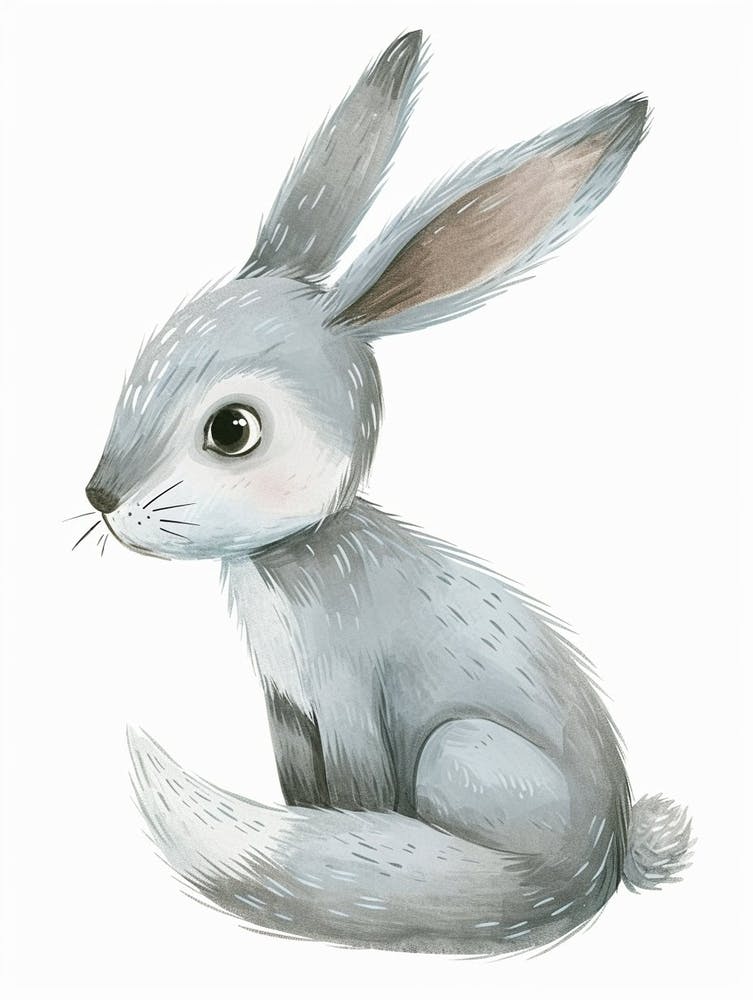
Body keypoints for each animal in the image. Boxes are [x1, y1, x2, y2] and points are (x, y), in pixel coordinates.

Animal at [83, 30, 692, 955]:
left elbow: (358, 786)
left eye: (232, 430)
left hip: (461, 752)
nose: (100, 498)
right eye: (141, 366)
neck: (293, 556)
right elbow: (300, 783)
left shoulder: (345, 698)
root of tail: (606, 860)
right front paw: (316, 822)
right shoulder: (285, 705)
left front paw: (346, 831)